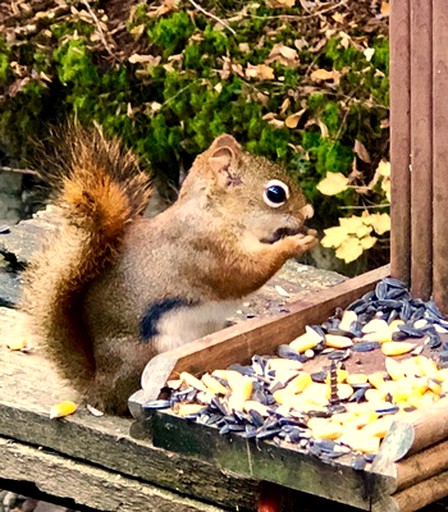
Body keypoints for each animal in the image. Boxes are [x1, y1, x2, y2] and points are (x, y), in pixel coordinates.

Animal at [20, 126, 316, 414]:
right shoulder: (207, 248)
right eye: (275, 194)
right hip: (147, 356)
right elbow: (245, 274)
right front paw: (296, 243)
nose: (309, 214)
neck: (216, 212)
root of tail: (98, 388)